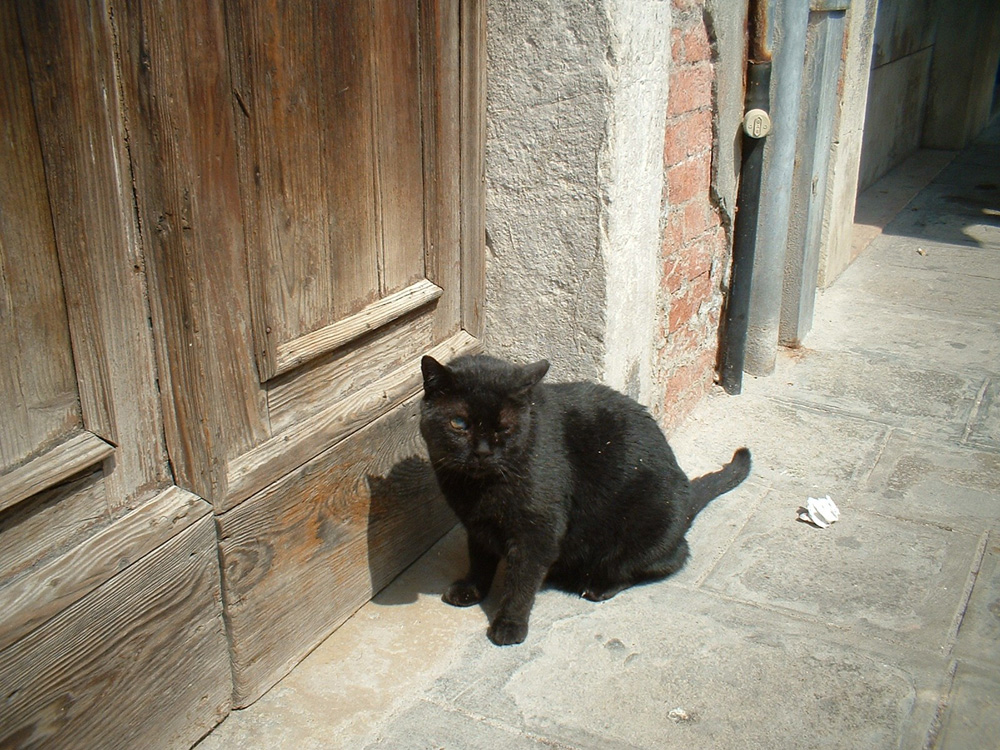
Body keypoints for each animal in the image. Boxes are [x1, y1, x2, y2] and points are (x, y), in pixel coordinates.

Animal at [416, 354, 752, 648]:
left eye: (503, 427)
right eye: (459, 423)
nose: (483, 452)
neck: (476, 489)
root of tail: (685, 499)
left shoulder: (539, 531)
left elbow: (521, 581)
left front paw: (510, 625)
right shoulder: (477, 525)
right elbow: (480, 559)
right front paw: (472, 589)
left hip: (649, 522)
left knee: (670, 557)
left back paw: (599, 586)